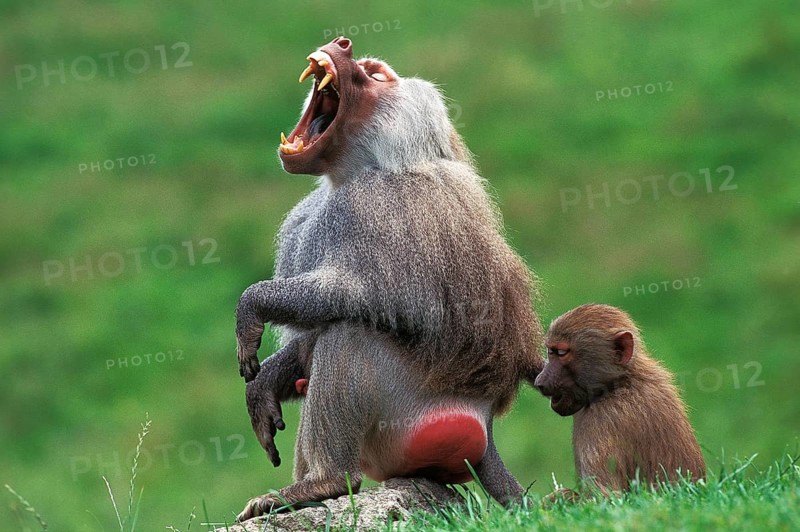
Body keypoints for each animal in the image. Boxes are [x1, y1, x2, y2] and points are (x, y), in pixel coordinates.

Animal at [234, 37, 544, 521]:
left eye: (375, 76)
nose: (342, 44)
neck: (361, 169)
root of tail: (487, 420)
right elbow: (310, 338)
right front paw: (266, 381)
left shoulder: (375, 209)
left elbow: (368, 297)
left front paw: (251, 308)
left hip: (412, 403)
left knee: (350, 336)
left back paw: (322, 483)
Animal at [533, 304, 705, 499]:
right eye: (550, 352)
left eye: (561, 353)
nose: (539, 381)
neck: (620, 382)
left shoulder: (602, 421)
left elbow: (606, 497)